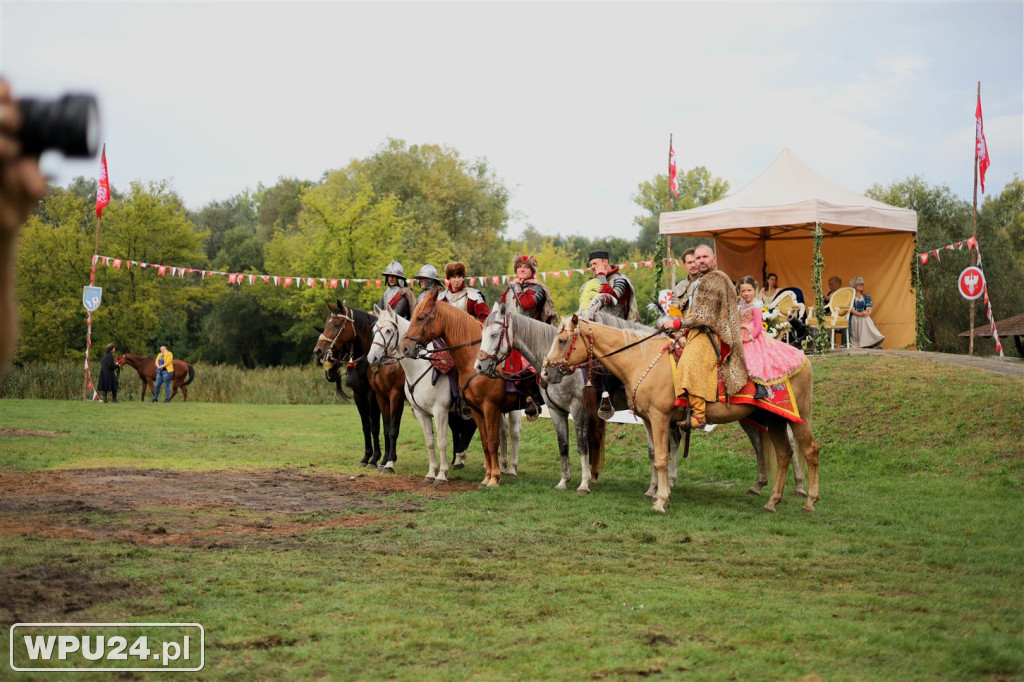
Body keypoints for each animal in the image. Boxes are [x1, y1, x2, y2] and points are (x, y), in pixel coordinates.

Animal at [311, 301, 385, 466]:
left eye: (337, 324)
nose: (318, 350)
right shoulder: (359, 395)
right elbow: (366, 426)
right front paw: (366, 457)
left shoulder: (373, 396)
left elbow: (375, 427)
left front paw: (375, 458)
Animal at [368, 303, 479, 483]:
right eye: (374, 330)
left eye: (388, 331)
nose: (372, 358)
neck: (420, 367)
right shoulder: (422, 413)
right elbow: (429, 442)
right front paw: (431, 473)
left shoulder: (440, 411)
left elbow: (441, 442)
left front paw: (441, 475)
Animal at [544, 313, 823, 509]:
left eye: (562, 340)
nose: (546, 372)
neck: (641, 360)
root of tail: (803, 358)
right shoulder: (648, 421)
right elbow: (657, 456)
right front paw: (658, 492)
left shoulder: (660, 418)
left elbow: (661, 458)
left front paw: (661, 499)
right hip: (775, 419)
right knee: (784, 454)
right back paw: (772, 501)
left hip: (796, 418)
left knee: (809, 449)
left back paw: (809, 500)